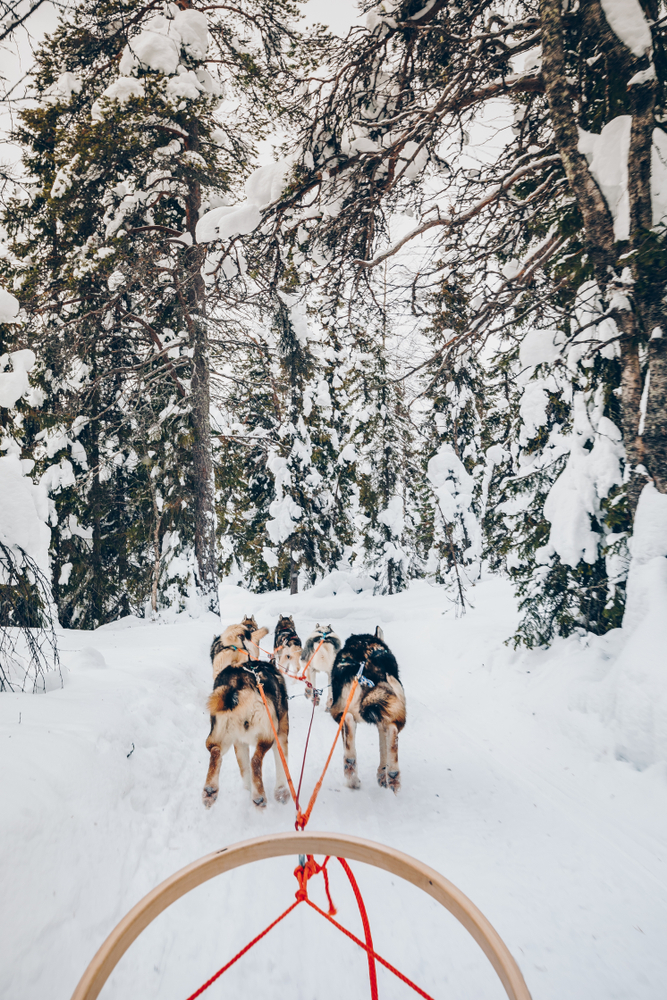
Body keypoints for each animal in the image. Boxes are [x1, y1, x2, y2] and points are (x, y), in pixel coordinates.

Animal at [202, 660, 288, 808]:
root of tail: (238, 683)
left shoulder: (239, 742)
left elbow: (244, 770)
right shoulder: (280, 735)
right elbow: (281, 763)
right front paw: (282, 792)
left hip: (220, 736)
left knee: (215, 751)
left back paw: (210, 791)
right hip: (267, 737)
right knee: (255, 761)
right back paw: (259, 796)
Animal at [330, 624, 408, 796]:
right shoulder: (382, 719)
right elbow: (383, 747)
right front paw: (383, 774)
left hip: (339, 712)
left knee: (348, 724)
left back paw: (352, 778)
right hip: (393, 707)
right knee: (392, 731)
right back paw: (393, 776)